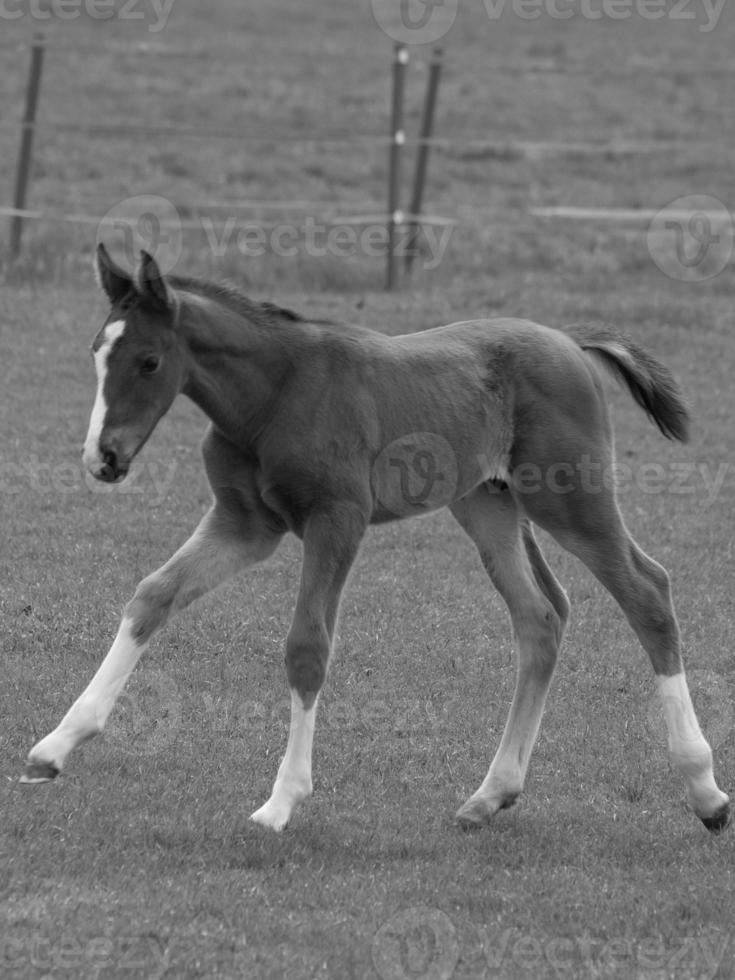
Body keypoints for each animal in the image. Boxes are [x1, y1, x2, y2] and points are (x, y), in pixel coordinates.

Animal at [23, 245, 732, 836]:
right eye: (95, 351)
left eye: (149, 361)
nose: (103, 457)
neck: (273, 395)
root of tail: (570, 341)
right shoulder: (244, 524)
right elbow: (153, 595)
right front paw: (55, 747)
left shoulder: (338, 519)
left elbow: (307, 648)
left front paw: (281, 802)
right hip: (488, 504)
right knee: (540, 617)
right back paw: (491, 794)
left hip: (569, 497)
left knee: (647, 592)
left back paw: (705, 792)